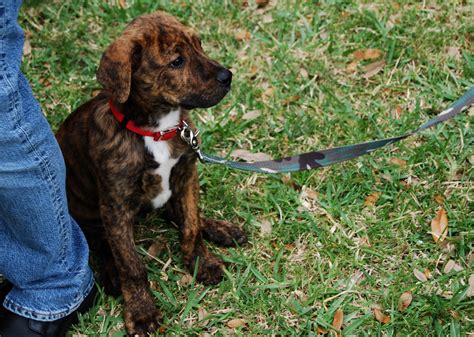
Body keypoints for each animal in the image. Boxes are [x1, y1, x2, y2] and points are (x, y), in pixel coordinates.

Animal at [56, 11, 246, 334]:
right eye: (177, 61)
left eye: (199, 44)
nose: (227, 76)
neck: (157, 129)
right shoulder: (115, 207)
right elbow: (131, 263)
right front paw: (141, 311)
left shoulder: (186, 175)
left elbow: (191, 225)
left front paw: (202, 262)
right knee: (103, 244)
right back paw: (111, 274)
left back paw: (221, 229)